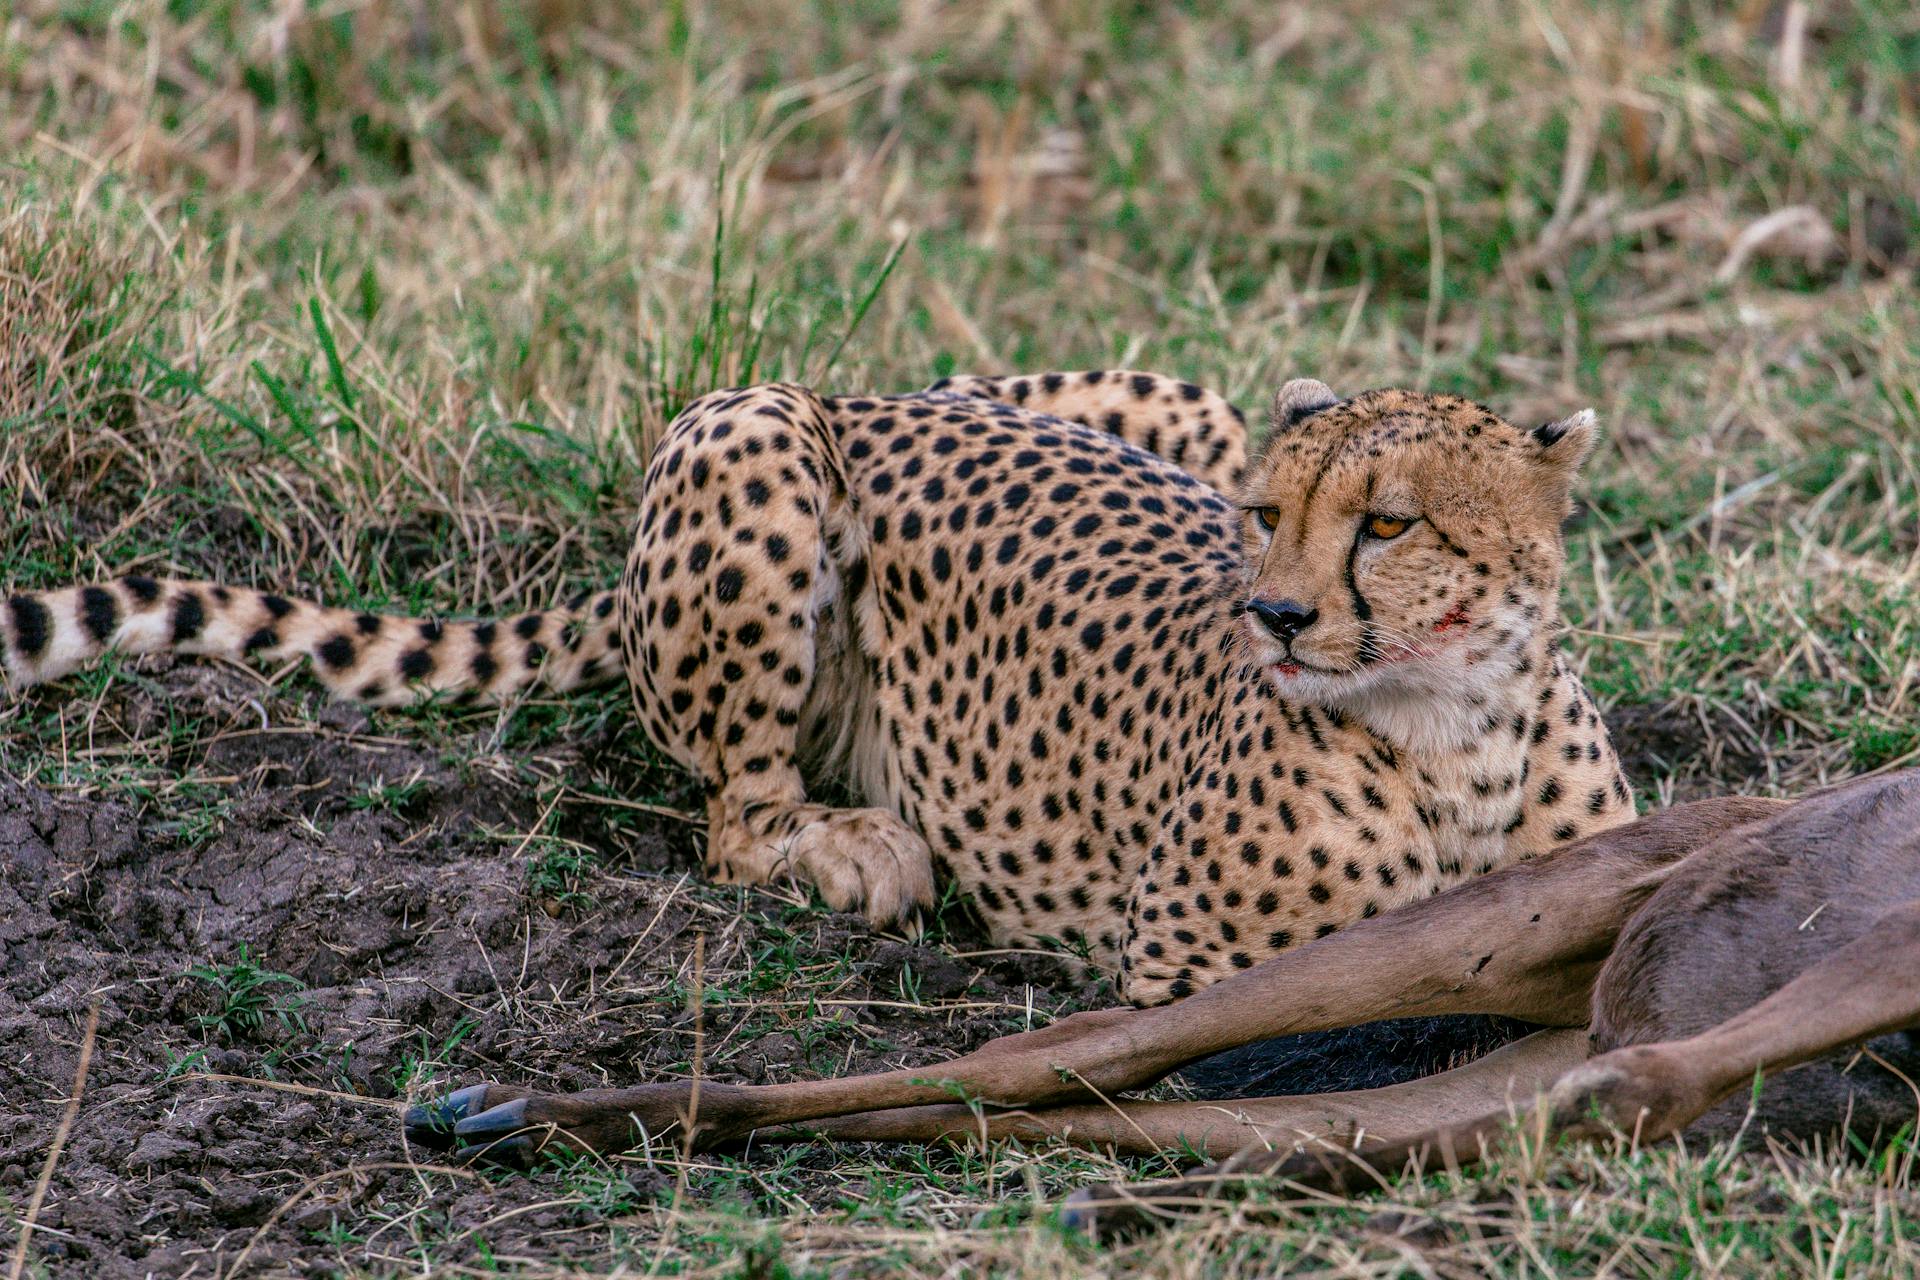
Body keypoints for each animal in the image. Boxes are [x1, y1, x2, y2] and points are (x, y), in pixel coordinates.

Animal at [0, 370, 1628, 1013]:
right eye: (1265, 516)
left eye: (1388, 523)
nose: (1277, 611)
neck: (1454, 733)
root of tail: (886, 390)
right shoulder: (1190, 965)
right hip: (749, 430)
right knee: (733, 814)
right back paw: (854, 846)